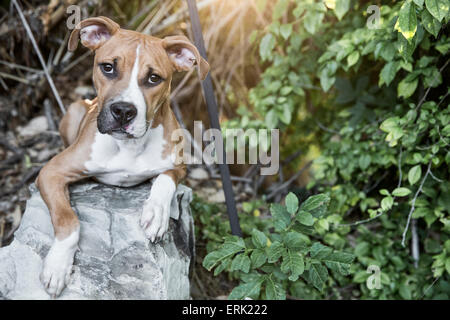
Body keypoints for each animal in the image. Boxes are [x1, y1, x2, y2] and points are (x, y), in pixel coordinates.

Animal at [36, 16, 210, 298]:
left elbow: (164, 182)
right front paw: (57, 265)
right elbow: (68, 219)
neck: (130, 146)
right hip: (75, 109)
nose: (123, 111)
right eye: (108, 68)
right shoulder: (51, 172)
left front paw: (156, 213)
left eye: (154, 78)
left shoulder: (178, 166)